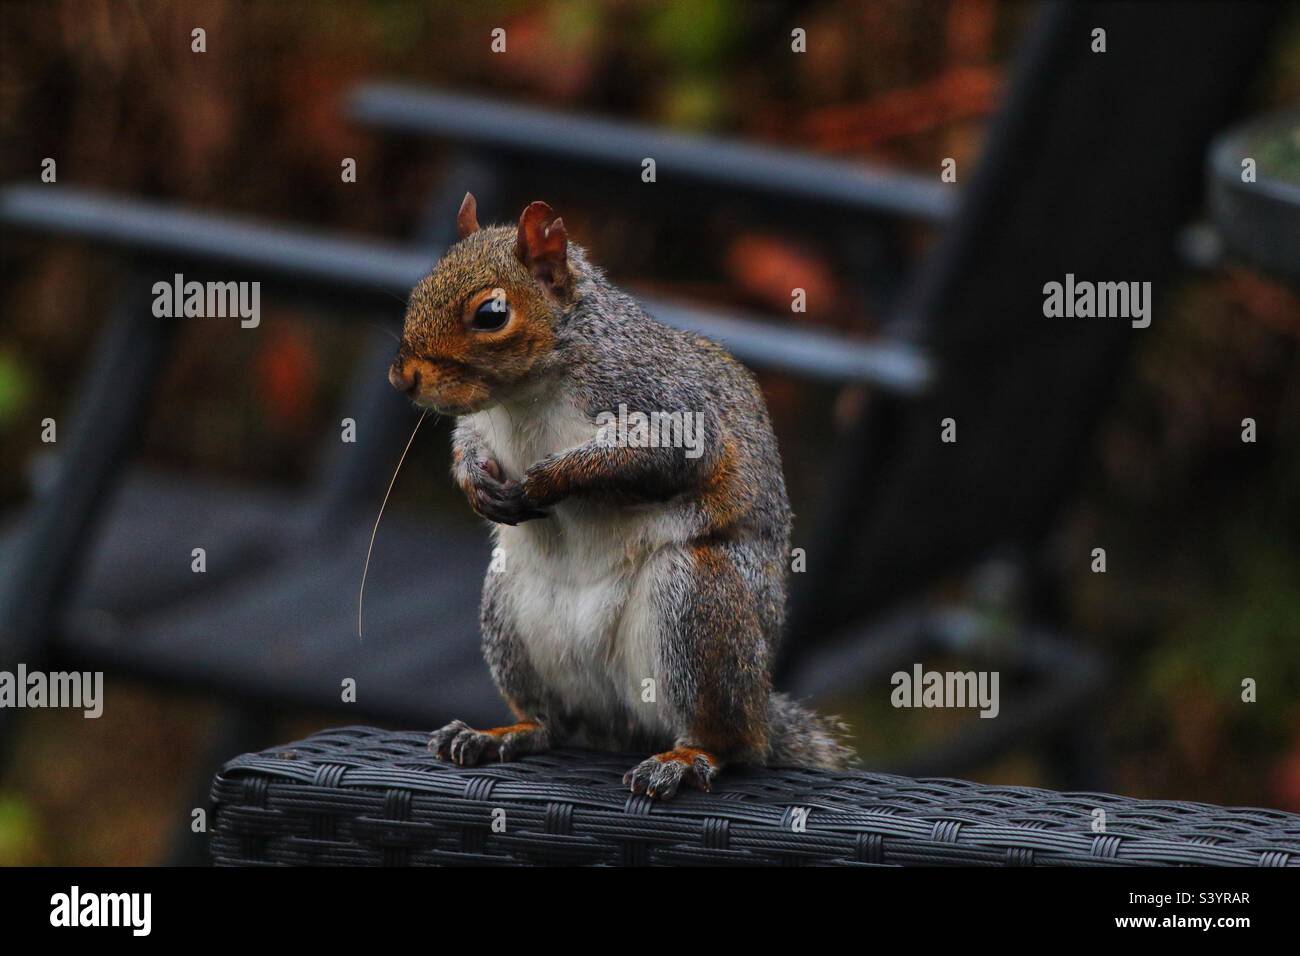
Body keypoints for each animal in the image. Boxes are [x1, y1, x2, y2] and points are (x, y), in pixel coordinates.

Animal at [388, 193, 852, 799]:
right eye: (421, 287)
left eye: (491, 314)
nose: (403, 378)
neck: (526, 397)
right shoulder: (483, 424)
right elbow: (468, 442)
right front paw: (477, 484)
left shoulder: (660, 402)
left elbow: (659, 456)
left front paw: (548, 478)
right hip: (509, 611)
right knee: (554, 724)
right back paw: (505, 732)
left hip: (697, 603)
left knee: (731, 741)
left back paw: (688, 756)